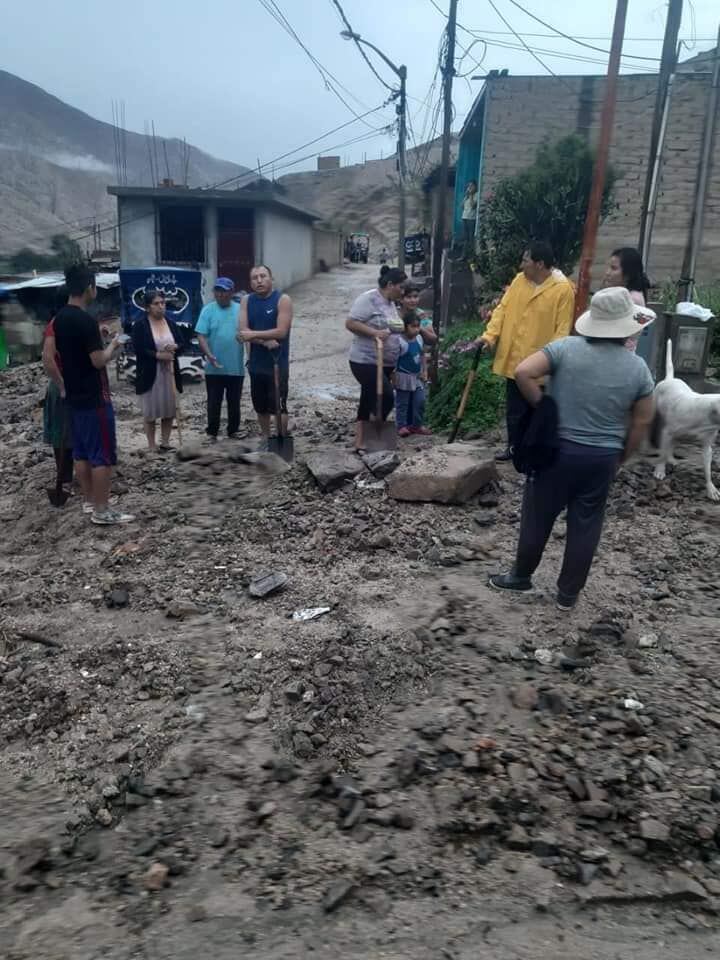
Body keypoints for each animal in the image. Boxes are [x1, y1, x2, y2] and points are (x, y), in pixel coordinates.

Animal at [652, 340, 720, 502]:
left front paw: (711, 488)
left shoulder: (707, 446)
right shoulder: (667, 432)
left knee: (672, 444)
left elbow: (708, 468)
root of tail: (670, 378)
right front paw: (660, 469)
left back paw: (671, 458)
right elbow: (662, 451)